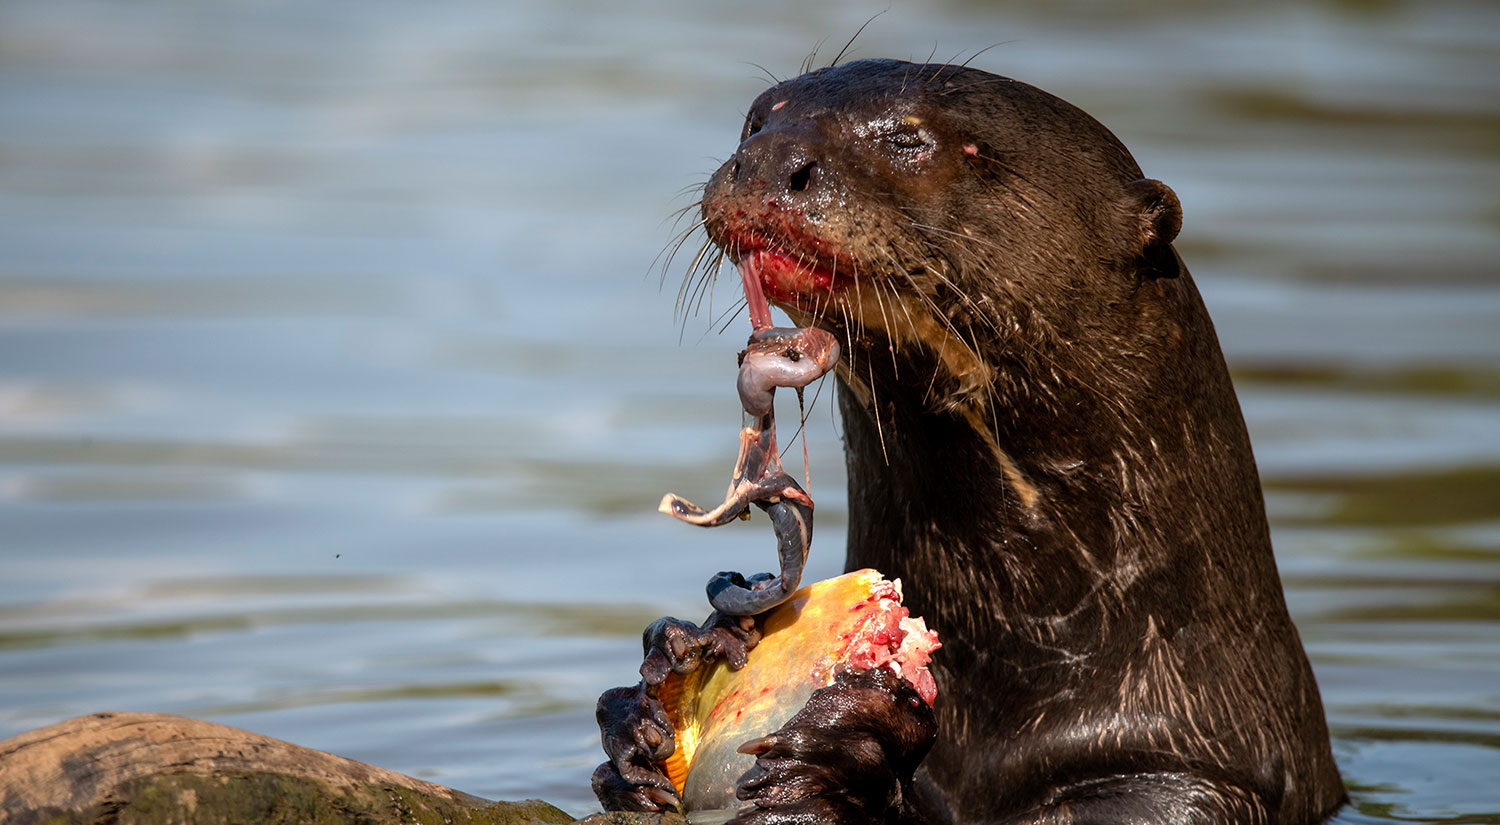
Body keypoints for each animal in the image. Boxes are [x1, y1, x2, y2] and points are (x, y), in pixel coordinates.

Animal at [594, 59, 1346, 825]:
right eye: (755, 120)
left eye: (908, 139)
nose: (772, 163)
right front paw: (654, 693)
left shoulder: (1193, 789)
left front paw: (843, 755)